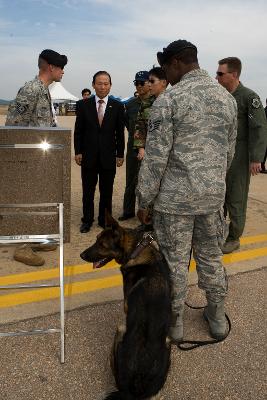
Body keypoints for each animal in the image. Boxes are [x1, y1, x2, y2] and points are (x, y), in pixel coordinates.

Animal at [80, 214, 173, 398]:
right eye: (96, 239)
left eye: (102, 245)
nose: (81, 255)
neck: (136, 250)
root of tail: (137, 383)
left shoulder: (126, 308)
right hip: (168, 341)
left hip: (120, 329)